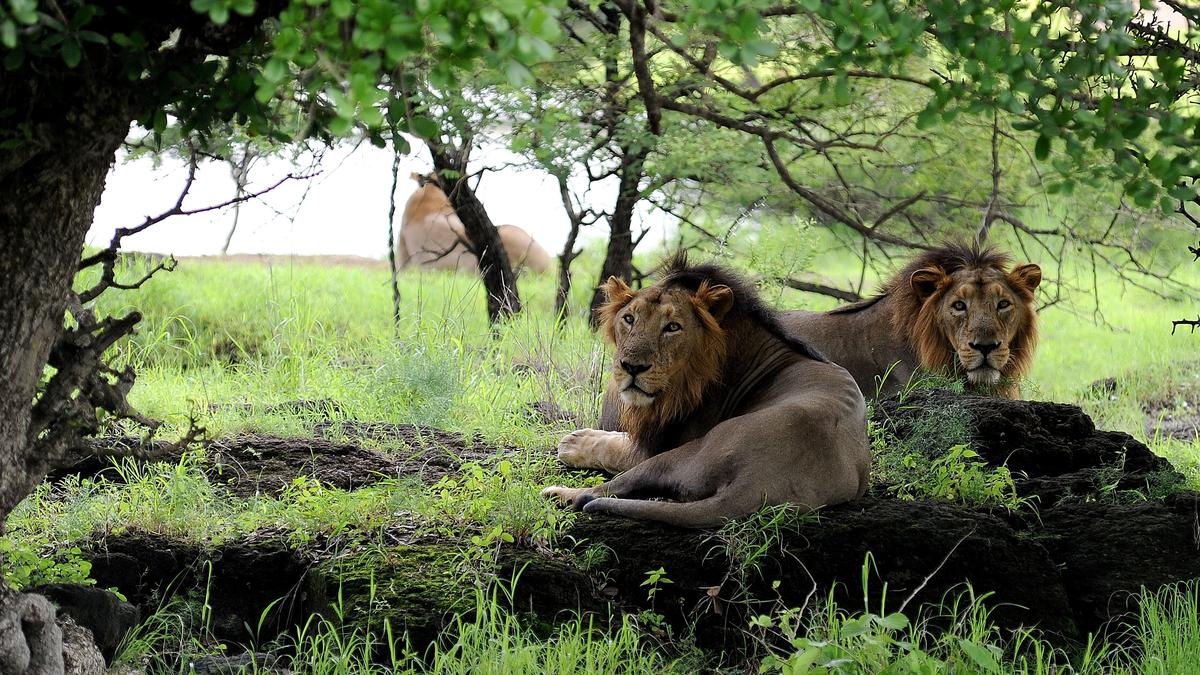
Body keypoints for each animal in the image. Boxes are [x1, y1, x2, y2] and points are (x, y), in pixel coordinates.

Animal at [540, 254, 868, 528]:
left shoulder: (662, 442)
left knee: (600, 491)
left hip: (682, 454)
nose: (631, 367)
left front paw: (574, 442)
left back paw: (561, 493)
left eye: (672, 327)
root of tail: (757, 484)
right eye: (629, 319)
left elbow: (616, 448)